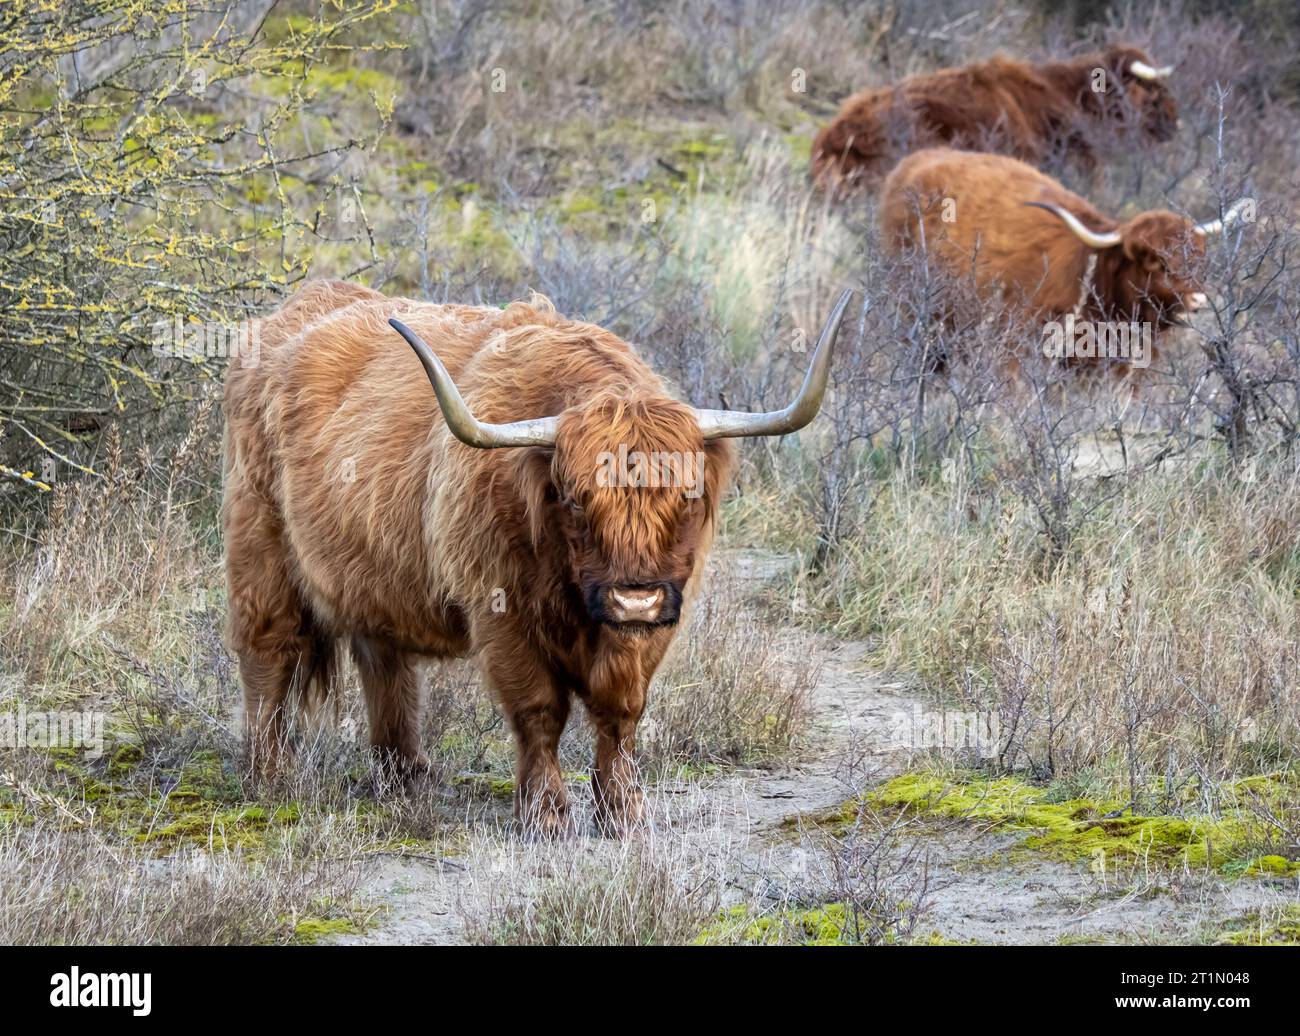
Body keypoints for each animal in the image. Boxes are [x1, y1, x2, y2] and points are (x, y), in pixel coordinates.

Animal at [223, 279, 852, 837]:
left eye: (687, 495)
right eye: (575, 499)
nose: (635, 599)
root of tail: (294, 311)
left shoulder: (652, 624)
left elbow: (621, 710)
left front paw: (625, 812)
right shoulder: (502, 613)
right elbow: (539, 708)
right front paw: (546, 816)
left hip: (373, 577)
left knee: (386, 666)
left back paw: (406, 777)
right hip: (260, 548)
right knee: (268, 656)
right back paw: (271, 777)